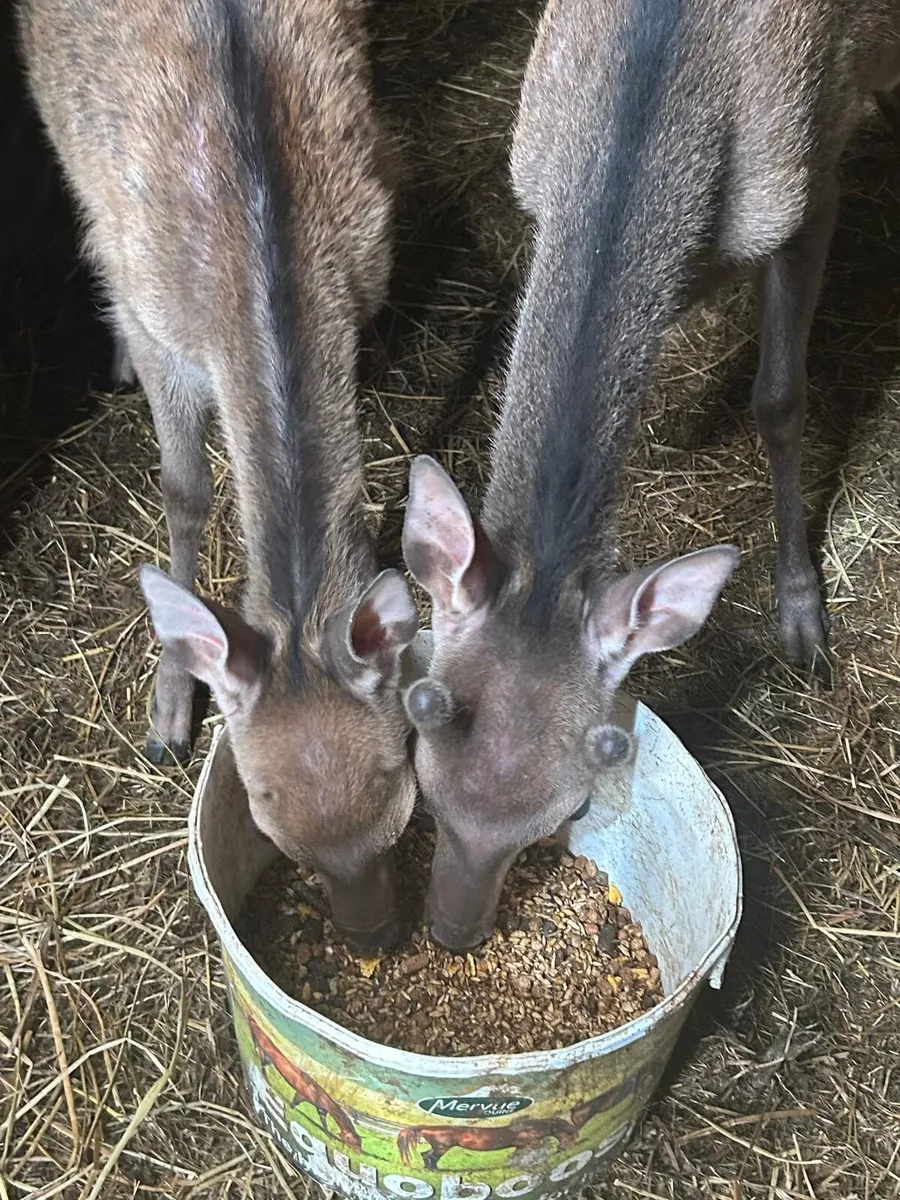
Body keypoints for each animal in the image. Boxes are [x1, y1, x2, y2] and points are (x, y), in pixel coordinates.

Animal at [18, 0, 420, 949]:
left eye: (397, 776)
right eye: (266, 806)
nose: (372, 934)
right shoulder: (160, 323)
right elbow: (185, 489)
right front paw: (169, 708)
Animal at [399, 0, 900, 950]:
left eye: (563, 813)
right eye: (426, 786)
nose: (449, 932)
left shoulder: (809, 176)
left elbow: (781, 396)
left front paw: (801, 617)